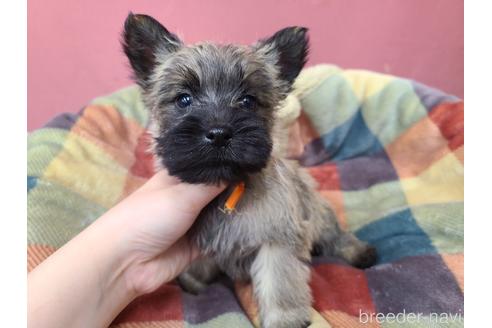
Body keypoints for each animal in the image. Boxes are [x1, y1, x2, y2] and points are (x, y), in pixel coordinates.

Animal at [123, 12, 376, 328]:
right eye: (184, 100)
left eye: (247, 101)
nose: (219, 134)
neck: (229, 187)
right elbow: (201, 264)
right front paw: (193, 281)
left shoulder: (276, 242)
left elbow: (279, 284)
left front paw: (284, 320)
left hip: (319, 213)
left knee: (336, 237)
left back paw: (359, 252)